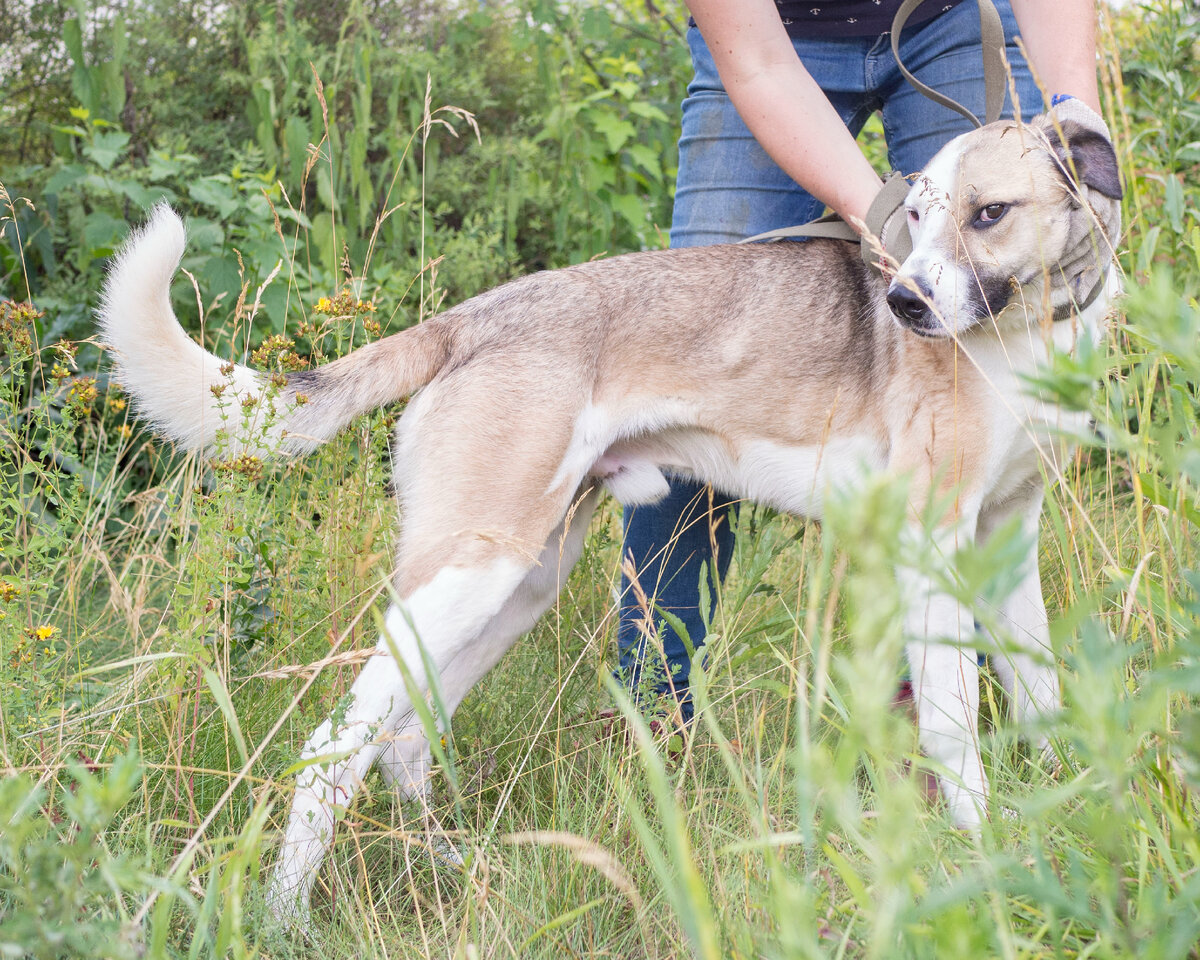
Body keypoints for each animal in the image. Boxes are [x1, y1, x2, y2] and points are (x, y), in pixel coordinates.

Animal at [98, 108, 1118, 916]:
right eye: (914, 217)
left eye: (988, 215)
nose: (904, 302)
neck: (1030, 335)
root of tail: (471, 318)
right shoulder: (928, 546)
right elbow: (955, 725)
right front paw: (983, 857)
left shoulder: (1008, 541)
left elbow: (1042, 692)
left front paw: (1071, 806)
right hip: (472, 574)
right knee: (335, 748)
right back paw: (282, 918)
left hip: (522, 583)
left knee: (404, 741)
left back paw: (454, 871)